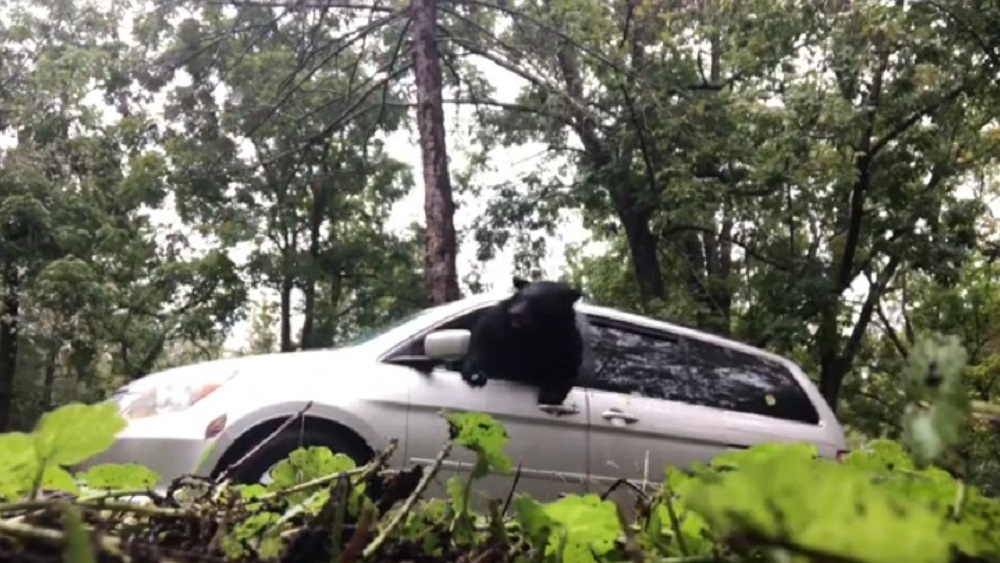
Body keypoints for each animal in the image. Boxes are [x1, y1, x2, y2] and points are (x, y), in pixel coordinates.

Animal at [460, 276, 594, 405]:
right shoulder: (501, 323)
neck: (532, 332)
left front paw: (551, 394)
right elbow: (483, 336)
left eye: (539, 300)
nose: (515, 313)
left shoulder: (565, 339)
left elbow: (567, 366)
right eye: (521, 296)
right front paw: (475, 374)